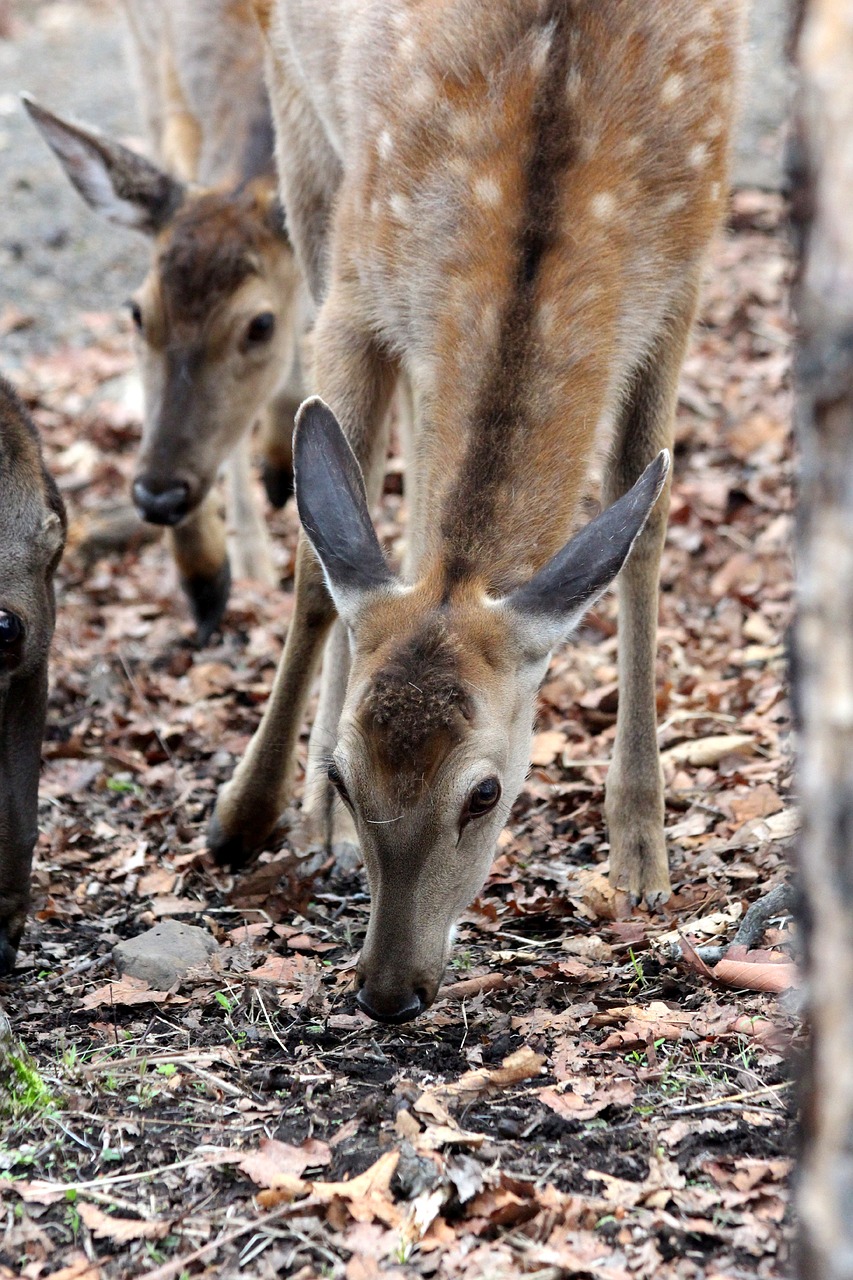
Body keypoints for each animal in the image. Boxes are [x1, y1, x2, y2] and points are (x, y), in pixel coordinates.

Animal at [208, 0, 742, 1018]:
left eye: (485, 794)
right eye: (346, 770)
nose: (388, 989)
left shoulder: (683, 272)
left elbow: (643, 516)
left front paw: (642, 855)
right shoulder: (363, 271)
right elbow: (315, 566)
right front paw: (254, 813)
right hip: (300, 125)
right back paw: (297, 828)